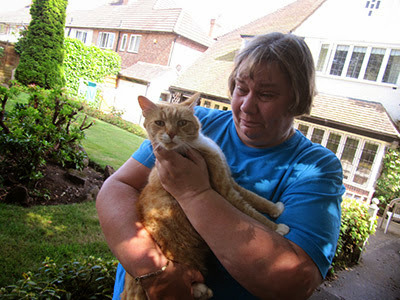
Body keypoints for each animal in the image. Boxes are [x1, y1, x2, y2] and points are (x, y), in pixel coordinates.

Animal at [120, 94, 290, 300]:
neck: (195, 145)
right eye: (159, 123)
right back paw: (200, 289)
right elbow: (251, 212)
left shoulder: (228, 180)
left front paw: (275, 209)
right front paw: (277, 228)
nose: (170, 134)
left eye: (182, 122)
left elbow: (254, 197)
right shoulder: (224, 190)